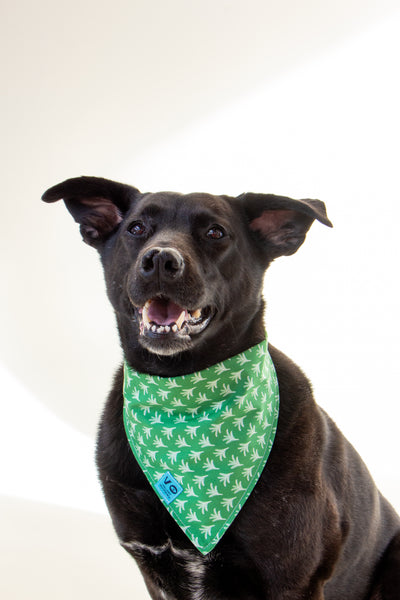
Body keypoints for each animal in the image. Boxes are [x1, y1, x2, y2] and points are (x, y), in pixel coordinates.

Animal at [42, 176, 398, 596]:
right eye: (136, 228)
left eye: (215, 232)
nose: (160, 260)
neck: (183, 394)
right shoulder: (153, 569)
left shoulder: (292, 579)